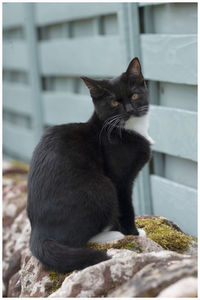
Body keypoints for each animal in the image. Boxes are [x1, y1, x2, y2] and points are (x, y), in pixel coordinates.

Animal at [27, 57, 152, 274]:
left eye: (135, 95)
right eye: (114, 102)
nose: (130, 110)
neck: (127, 129)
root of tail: (38, 232)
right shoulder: (119, 181)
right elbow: (126, 207)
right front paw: (133, 233)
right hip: (101, 187)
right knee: (76, 240)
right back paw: (111, 236)